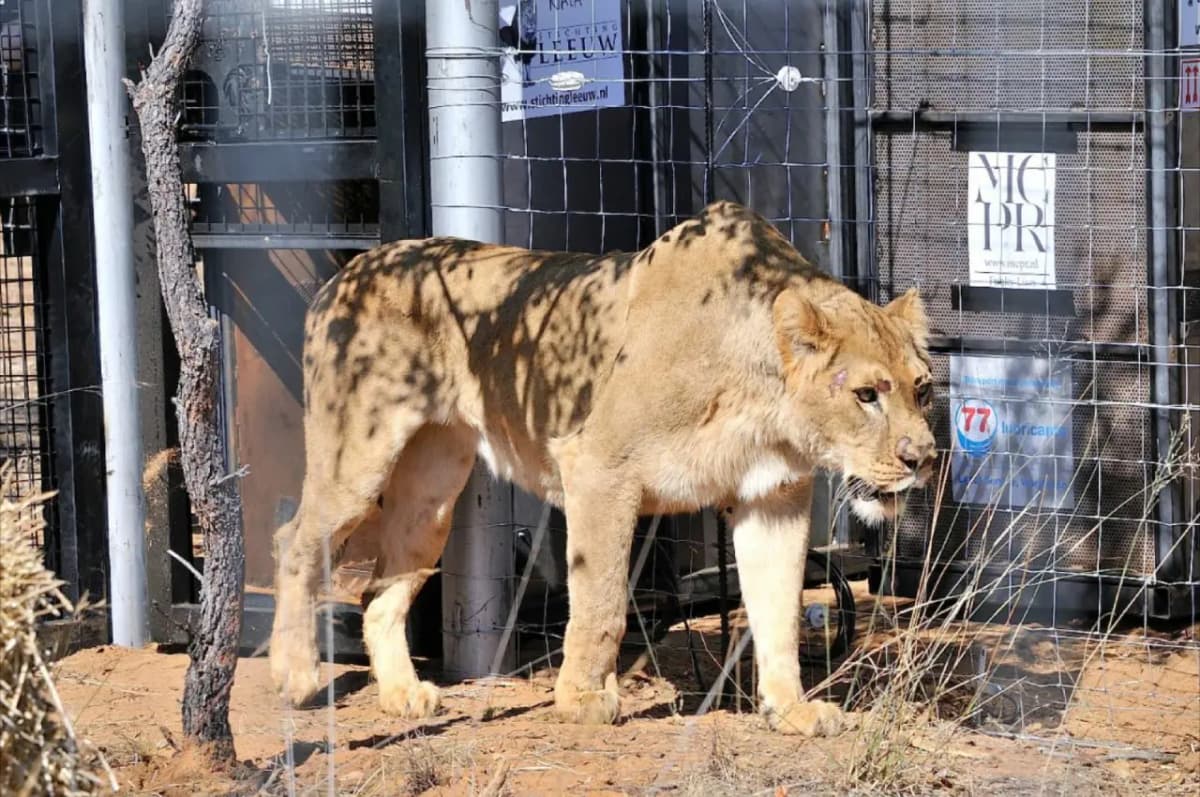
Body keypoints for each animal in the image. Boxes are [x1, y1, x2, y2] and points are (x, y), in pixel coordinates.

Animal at [269, 200, 936, 736]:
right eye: (866, 395)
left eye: (922, 390)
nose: (922, 458)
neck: (764, 400)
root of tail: (348, 271)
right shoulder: (599, 466)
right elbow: (601, 600)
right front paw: (583, 698)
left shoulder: (773, 497)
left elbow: (778, 611)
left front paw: (791, 710)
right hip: (359, 455)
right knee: (294, 540)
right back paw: (294, 674)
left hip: (431, 488)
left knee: (381, 587)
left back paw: (403, 695)